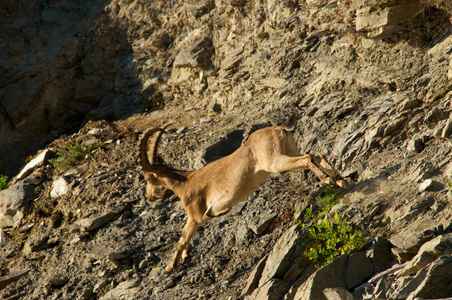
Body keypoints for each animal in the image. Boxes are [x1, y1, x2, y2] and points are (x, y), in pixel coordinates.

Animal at [139, 113, 348, 274]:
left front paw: (169, 267)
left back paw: (327, 180)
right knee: (317, 155)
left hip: (276, 162)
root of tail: (279, 128)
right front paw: (185, 257)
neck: (185, 183)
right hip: (290, 150)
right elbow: (186, 240)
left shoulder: (195, 216)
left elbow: (181, 239)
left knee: (308, 158)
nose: (149, 197)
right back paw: (339, 180)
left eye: (149, 177)